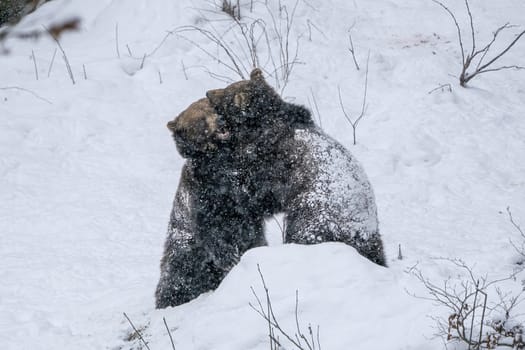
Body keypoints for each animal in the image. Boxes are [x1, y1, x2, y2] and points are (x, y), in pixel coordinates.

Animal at [156, 69, 384, 308]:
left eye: (218, 100)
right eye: (201, 118)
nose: (209, 92)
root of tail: (360, 231)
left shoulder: (264, 160)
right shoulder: (208, 194)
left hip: (315, 215)